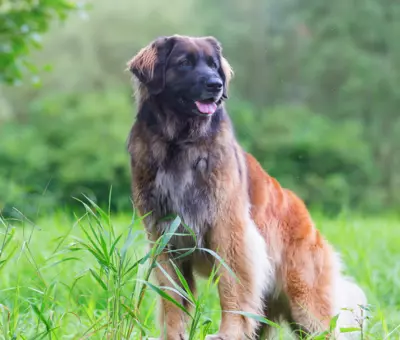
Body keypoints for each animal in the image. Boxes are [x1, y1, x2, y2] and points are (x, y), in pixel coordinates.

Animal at [126, 35, 368, 340]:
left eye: (213, 65)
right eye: (184, 63)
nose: (216, 84)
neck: (179, 144)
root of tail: (308, 218)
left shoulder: (229, 231)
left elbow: (231, 290)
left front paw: (227, 333)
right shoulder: (163, 237)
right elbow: (172, 298)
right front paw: (173, 335)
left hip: (306, 303)